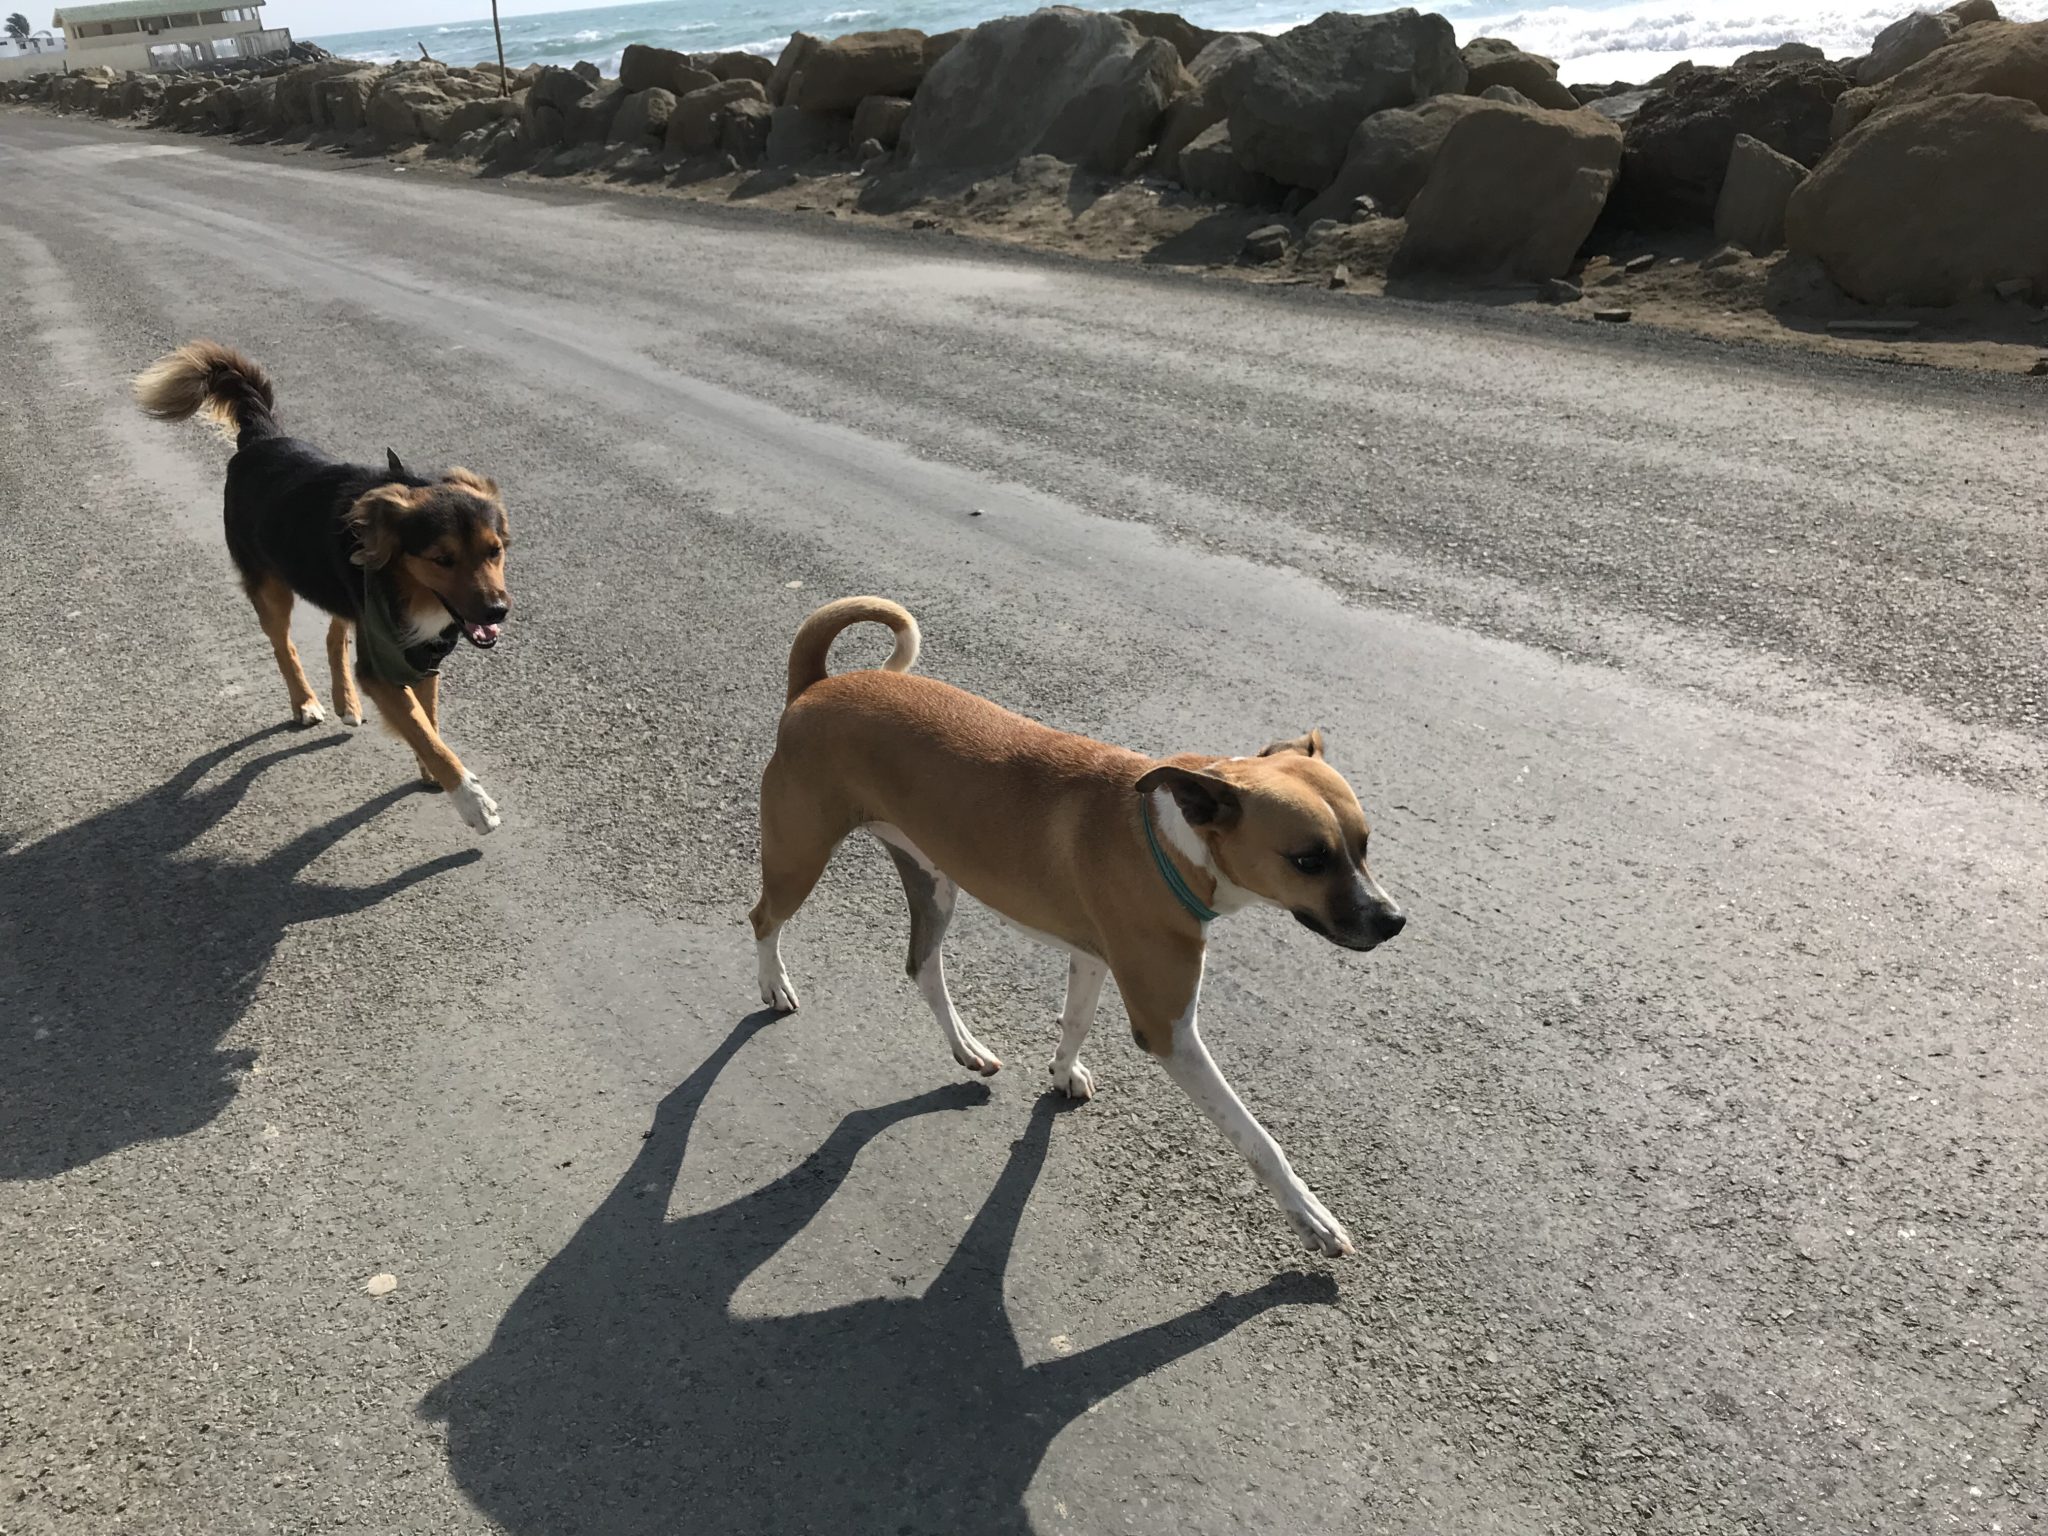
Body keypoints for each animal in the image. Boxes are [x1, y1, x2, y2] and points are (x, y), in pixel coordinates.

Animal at [136, 342, 512, 835]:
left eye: (494, 551)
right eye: (442, 560)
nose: (498, 611)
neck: (407, 584)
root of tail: (261, 439)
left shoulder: (423, 651)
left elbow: (428, 719)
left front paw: (434, 771)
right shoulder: (382, 665)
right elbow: (420, 727)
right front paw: (470, 799)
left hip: (338, 588)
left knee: (335, 635)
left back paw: (344, 701)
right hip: (271, 588)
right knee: (285, 646)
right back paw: (306, 702)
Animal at [753, 593, 1409, 1253]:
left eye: (1365, 845)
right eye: (1309, 859)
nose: (1393, 921)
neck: (1169, 840)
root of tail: (816, 685)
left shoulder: (1093, 955)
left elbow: (1076, 1020)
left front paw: (1063, 1071)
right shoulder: (1168, 1030)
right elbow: (1255, 1136)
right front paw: (1309, 1214)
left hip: (933, 880)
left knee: (922, 965)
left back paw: (967, 1048)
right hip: (799, 856)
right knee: (764, 919)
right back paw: (774, 986)